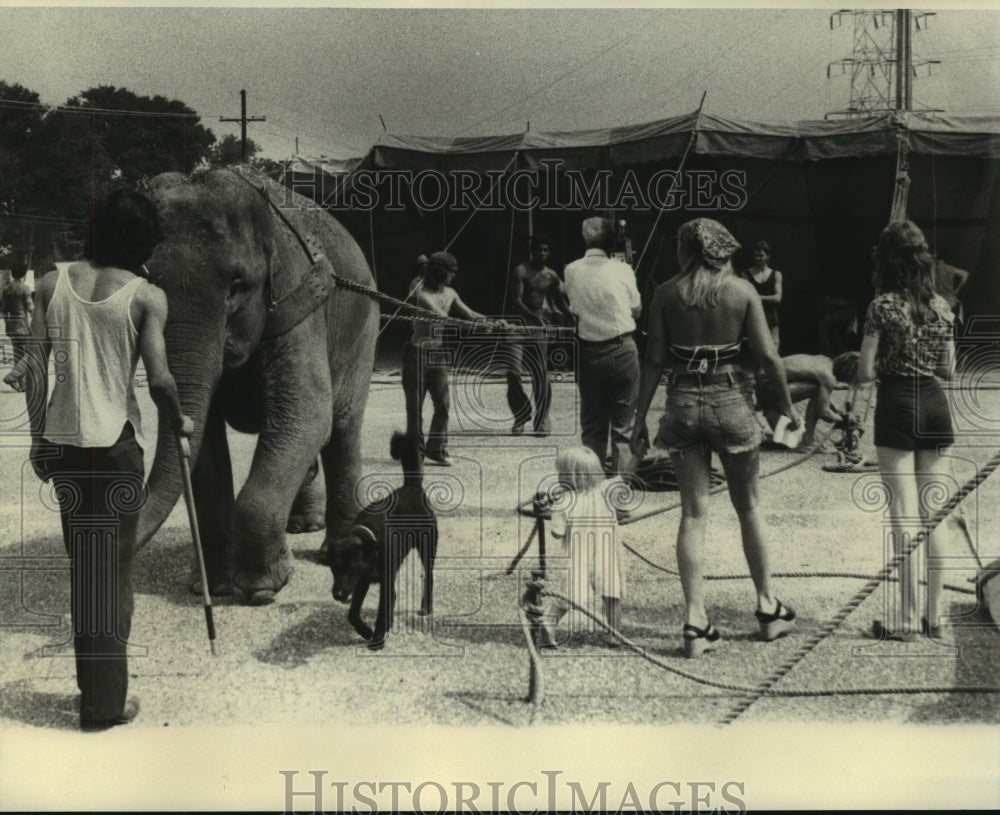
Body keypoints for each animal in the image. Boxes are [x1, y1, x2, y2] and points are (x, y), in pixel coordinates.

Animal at [135, 166, 376, 604]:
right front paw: (212, 586)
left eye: (236, 286)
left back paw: (335, 550)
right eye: (143, 281)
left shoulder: (297, 302)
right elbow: (206, 444)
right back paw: (301, 525)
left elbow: (309, 414)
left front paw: (261, 589)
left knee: (342, 427)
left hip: (363, 329)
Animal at [330, 434, 436, 652]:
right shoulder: (361, 581)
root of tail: (412, 487)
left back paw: (426, 607)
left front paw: (377, 638)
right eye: (333, 568)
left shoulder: (383, 584)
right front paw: (365, 631)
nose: (337, 594)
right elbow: (352, 613)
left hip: (427, 547)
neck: (370, 539)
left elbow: (382, 612)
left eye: (350, 568)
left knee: (429, 577)